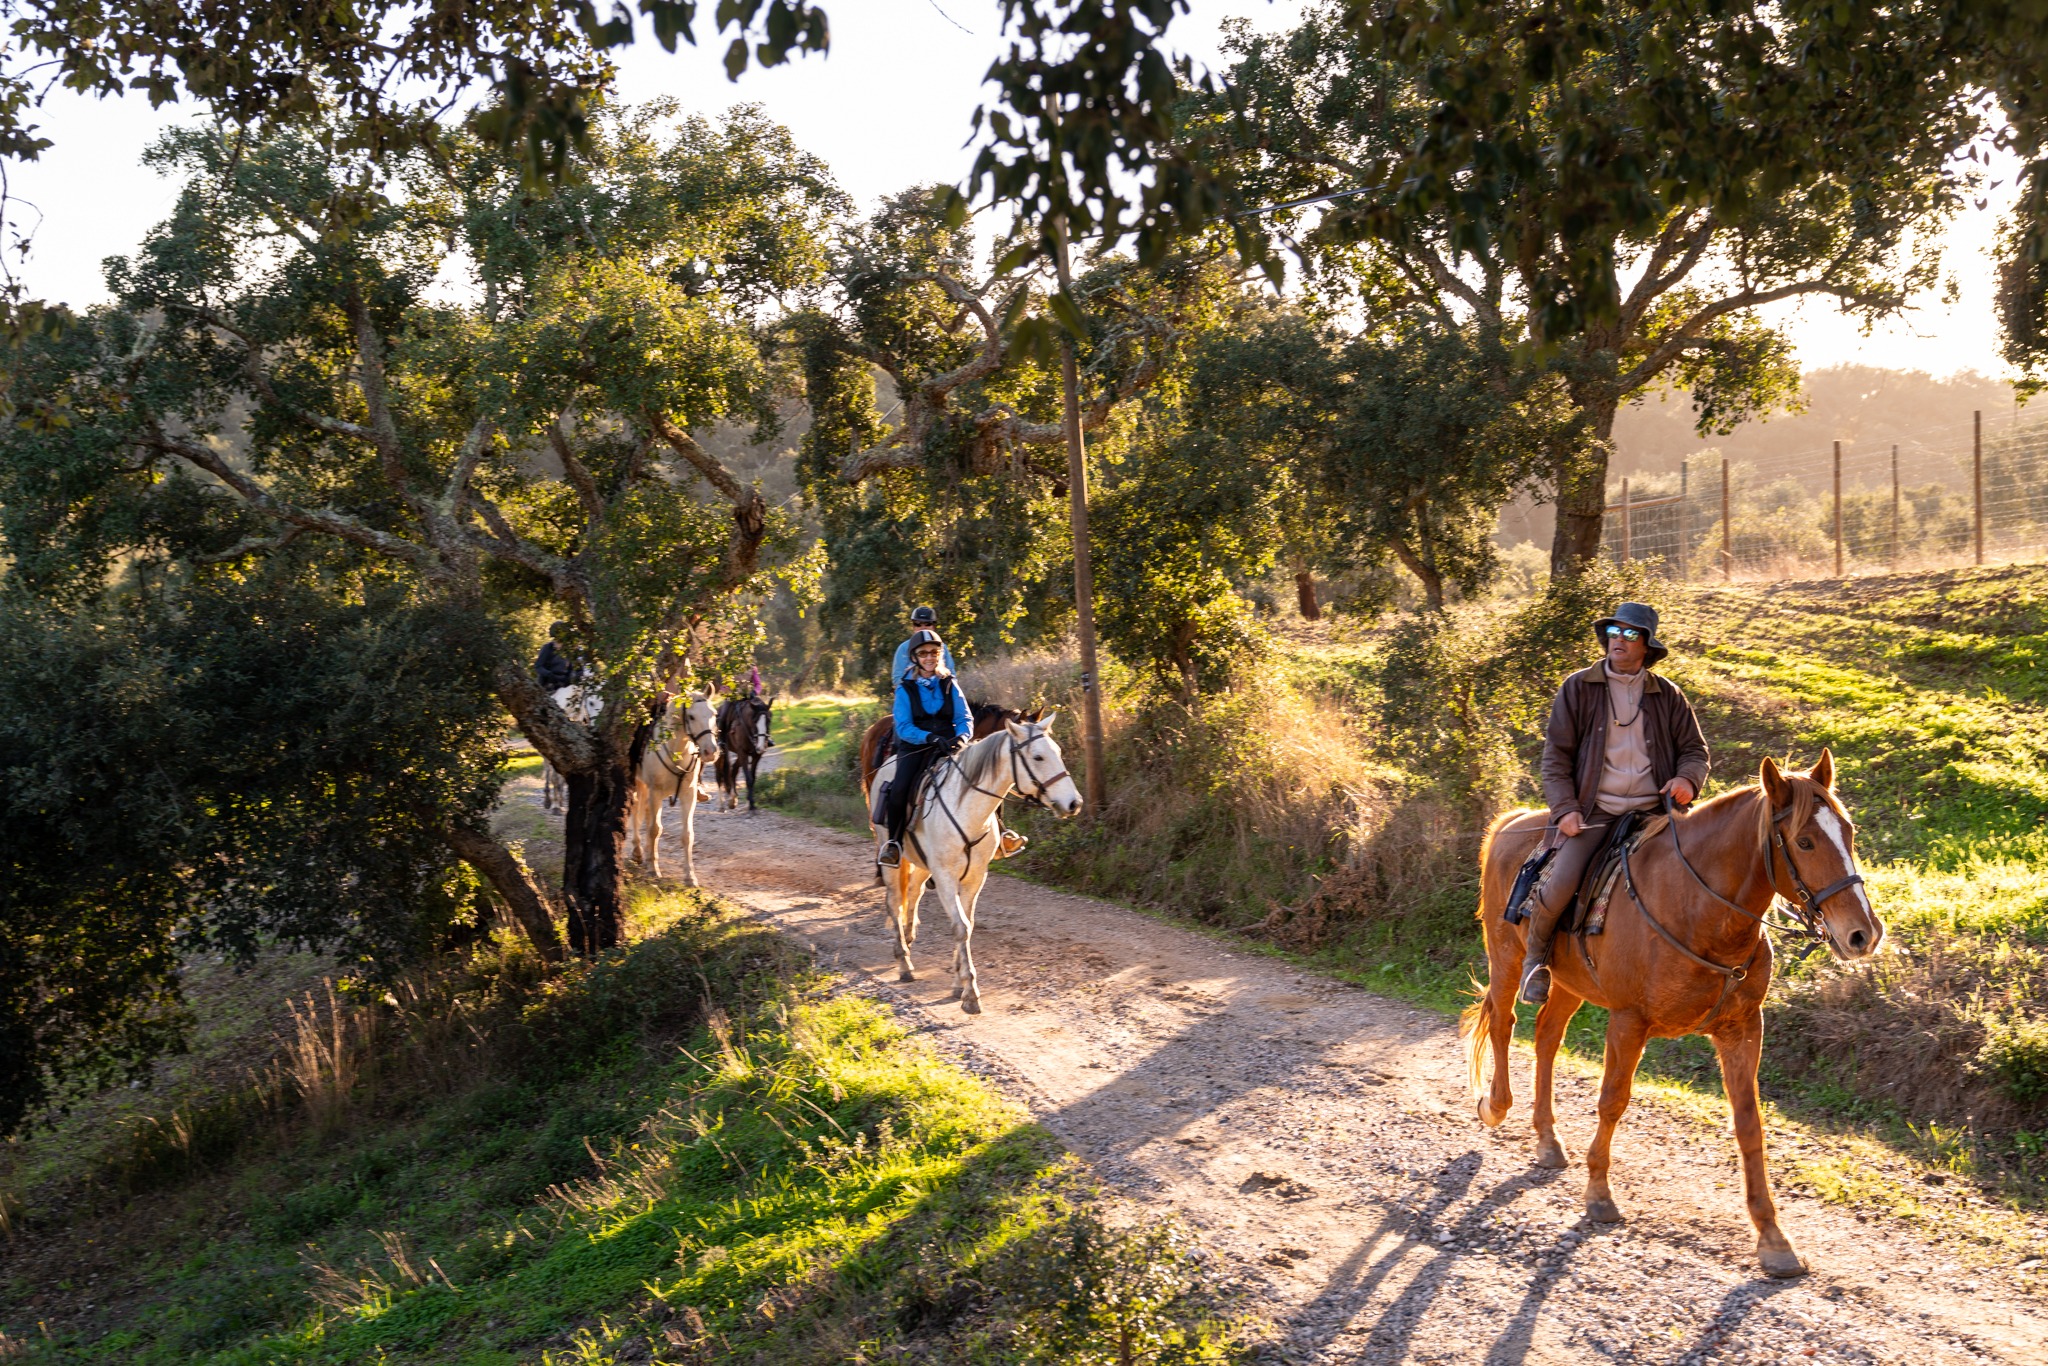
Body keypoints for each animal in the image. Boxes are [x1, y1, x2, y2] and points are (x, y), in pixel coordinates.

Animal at [540, 684, 602, 813]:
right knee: (548, 772)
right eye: (591, 702)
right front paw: (555, 806)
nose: (598, 727)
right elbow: (554, 778)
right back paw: (548, 800)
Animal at [625, 687, 720, 885]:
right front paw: (654, 870)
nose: (710, 752)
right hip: (639, 784)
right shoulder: (655, 792)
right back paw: (638, 852)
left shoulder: (688, 794)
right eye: (691, 716)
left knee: (644, 814)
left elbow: (687, 835)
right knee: (637, 812)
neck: (676, 749)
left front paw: (690, 877)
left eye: (714, 714)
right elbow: (655, 829)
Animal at [867, 714, 1082, 1013]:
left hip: (921, 864)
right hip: (892, 861)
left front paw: (958, 983)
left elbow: (967, 924)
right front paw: (970, 993)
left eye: (1058, 753)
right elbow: (960, 927)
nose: (1074, 803)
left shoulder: (975, 878)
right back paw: (904, 962)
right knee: (894, 902)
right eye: (1038, 757)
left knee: (913, 893)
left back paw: (909, 940)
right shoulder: (945, 878)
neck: (968, 810)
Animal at [1462, 752, 1883, 1279]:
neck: (1701, 911)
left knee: (1546, 1039)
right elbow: (1612, 1102)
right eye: (1805, 841)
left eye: (1848, 833)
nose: (1863, 934)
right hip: (1506, 958)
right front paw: (1599, 1194)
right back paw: (1495, 1106)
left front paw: (1772, 1238)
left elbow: (1750, 1125)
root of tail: (1512, 822)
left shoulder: (1742, 1029)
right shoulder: (1629, 1022)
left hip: (1570, 984)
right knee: (1504, 1024)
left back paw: (1547, 1140)